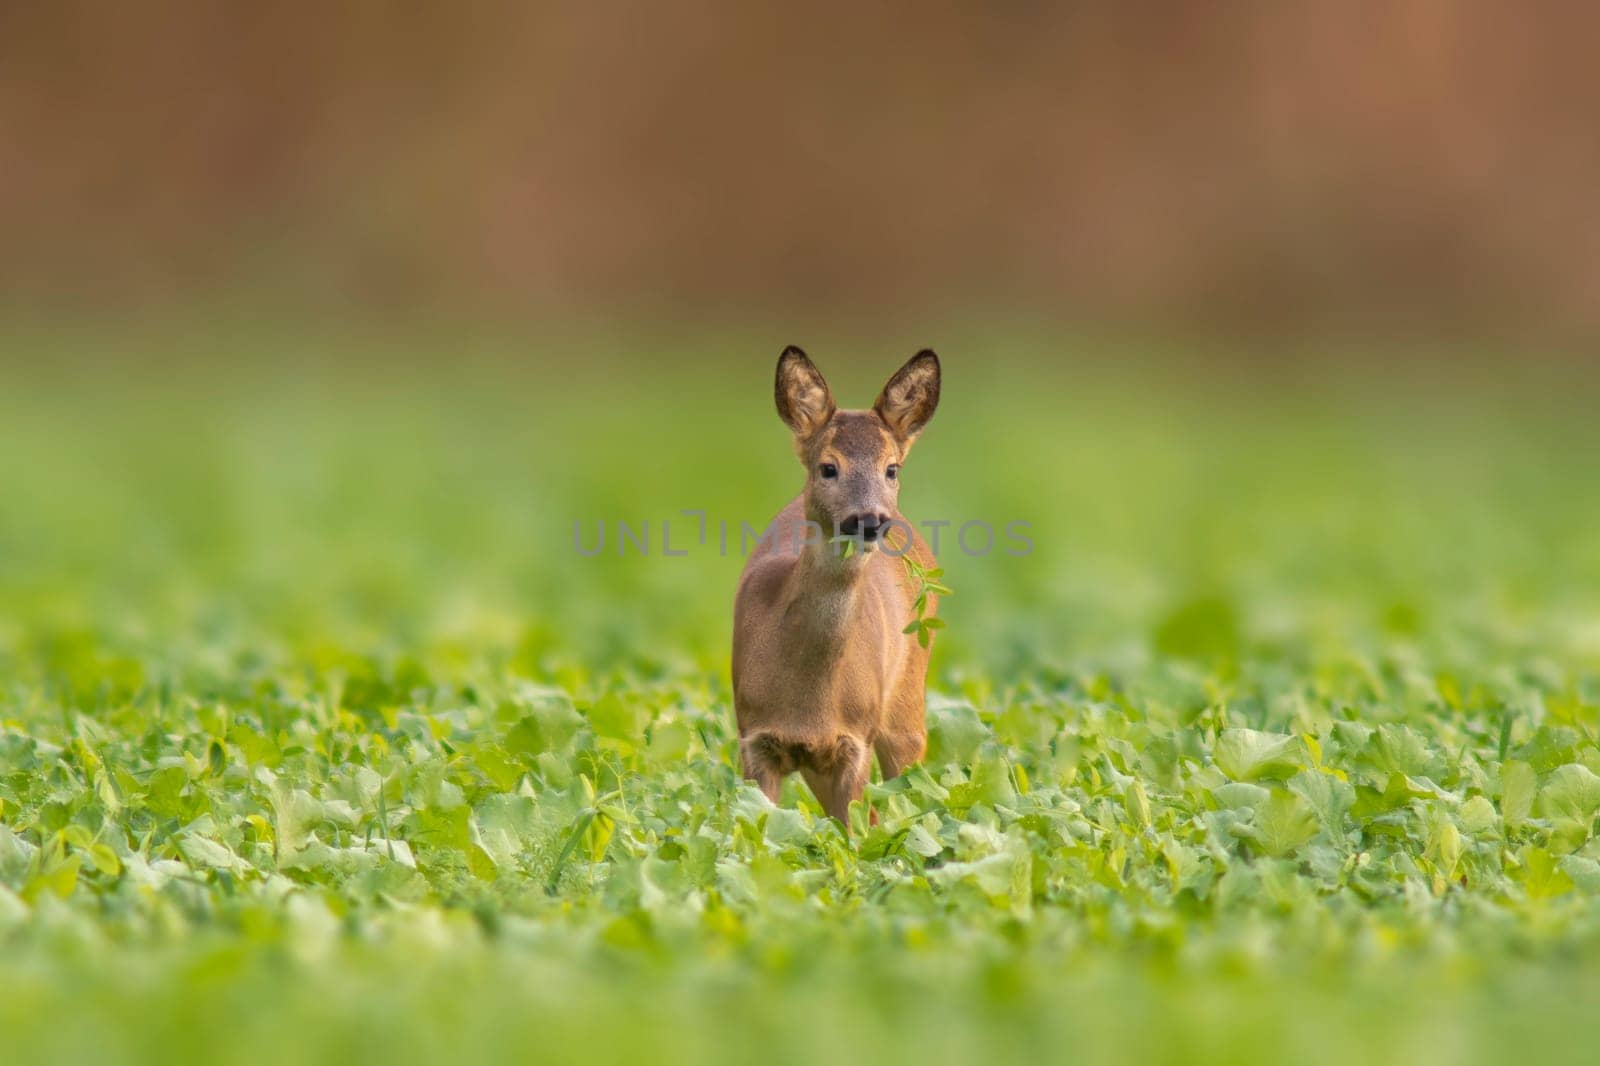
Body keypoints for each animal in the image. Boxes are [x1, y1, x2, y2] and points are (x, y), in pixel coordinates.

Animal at [732, 344, 940, 825]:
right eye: (828, 467)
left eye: (892, 469)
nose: (869, 520)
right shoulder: (754, 740)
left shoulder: (855, 743)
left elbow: (857, 831)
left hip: (906, 704)